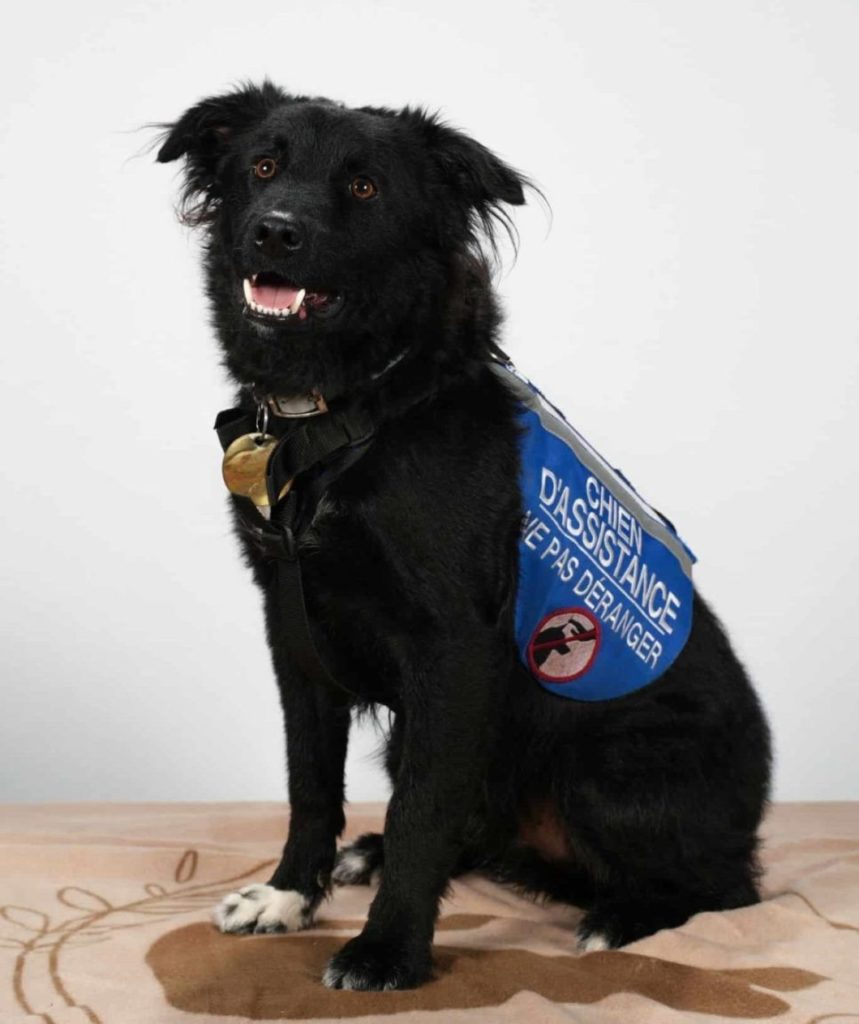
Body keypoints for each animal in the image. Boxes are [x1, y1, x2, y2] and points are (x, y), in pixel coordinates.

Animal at [156, 81, 774, 991]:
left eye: (365, 187)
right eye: (263, 166)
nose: (275, 230)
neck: (349, 414)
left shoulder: (451, 651)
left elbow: (422, 812)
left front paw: (386, 951)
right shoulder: (293, 633)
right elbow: (310, 782)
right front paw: (289, 896)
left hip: (608, 766)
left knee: (726, 889)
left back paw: (620, 916)